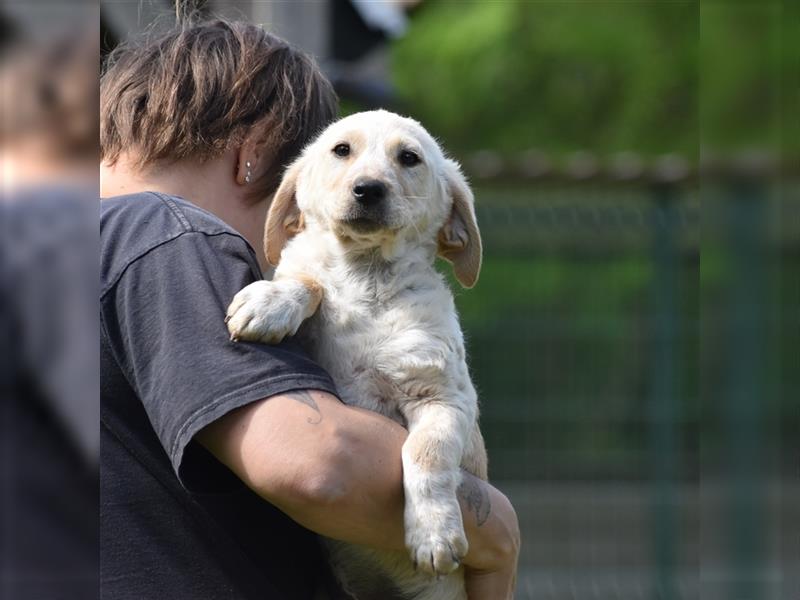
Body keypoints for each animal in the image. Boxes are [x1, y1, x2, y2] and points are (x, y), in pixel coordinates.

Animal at [225, 109, 488, 600]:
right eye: (341, 150)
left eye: (409, 158)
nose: (368, 189)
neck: (365, 281)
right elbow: (307, 278)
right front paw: (270, 302)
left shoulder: (445, 398)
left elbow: (427, 453)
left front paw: (434, 532)